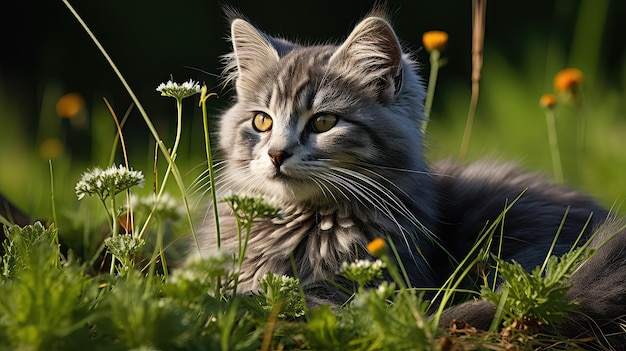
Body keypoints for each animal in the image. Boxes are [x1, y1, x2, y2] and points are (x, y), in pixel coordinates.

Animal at [199, 9, 624, 350]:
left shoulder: (371, 289)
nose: (276, 154)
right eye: (262, 121)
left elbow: (282, 300)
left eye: (323, 122)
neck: (302, 224)